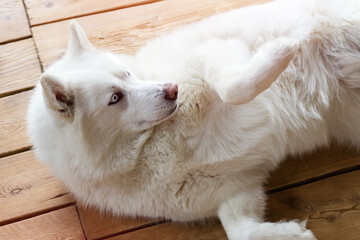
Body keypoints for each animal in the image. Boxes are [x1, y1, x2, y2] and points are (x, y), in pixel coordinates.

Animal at [27, 0, 360, 239]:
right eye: (115, 98)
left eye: (128, 73)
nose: (172, 89)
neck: (146, 152)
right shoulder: (238, 189)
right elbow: (240, 231)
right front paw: (292, 234)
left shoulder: (214, 51)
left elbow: (234, 88)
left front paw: (281, 49)